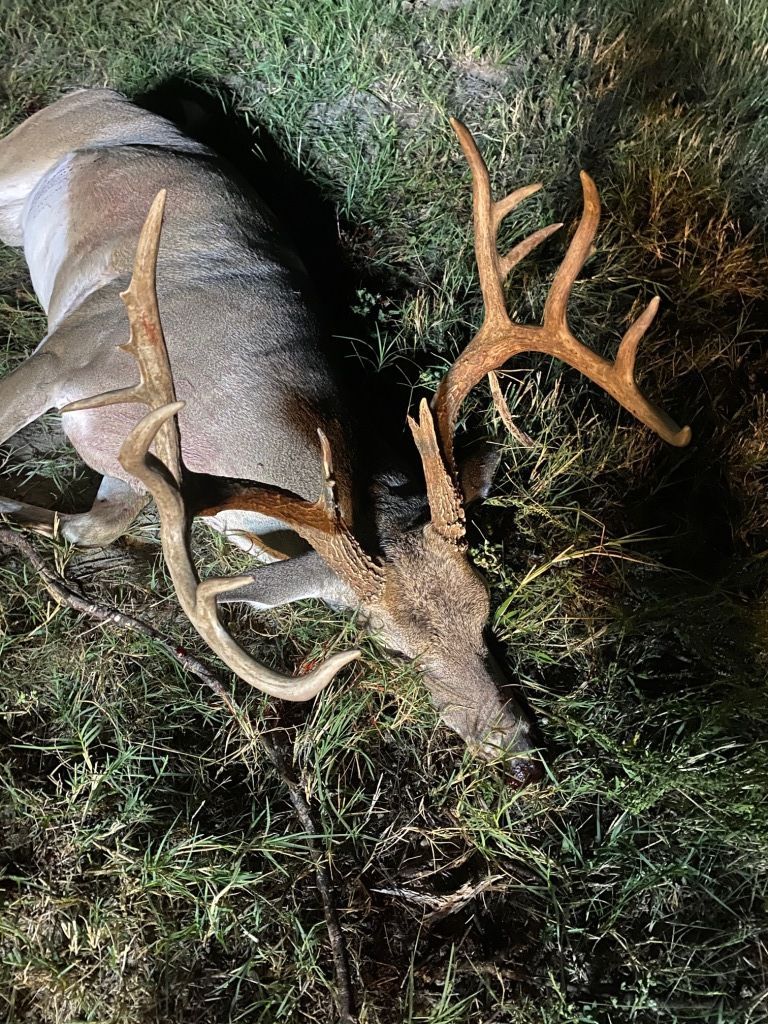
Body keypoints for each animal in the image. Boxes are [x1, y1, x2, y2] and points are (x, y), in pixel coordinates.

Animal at [0, 90, 691, 785]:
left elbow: (90, 527)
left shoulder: (136, 468)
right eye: (393, 648)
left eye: (486, 609)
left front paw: (23, 518)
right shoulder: (66, 352)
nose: (521, 757)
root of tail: (105, 94)